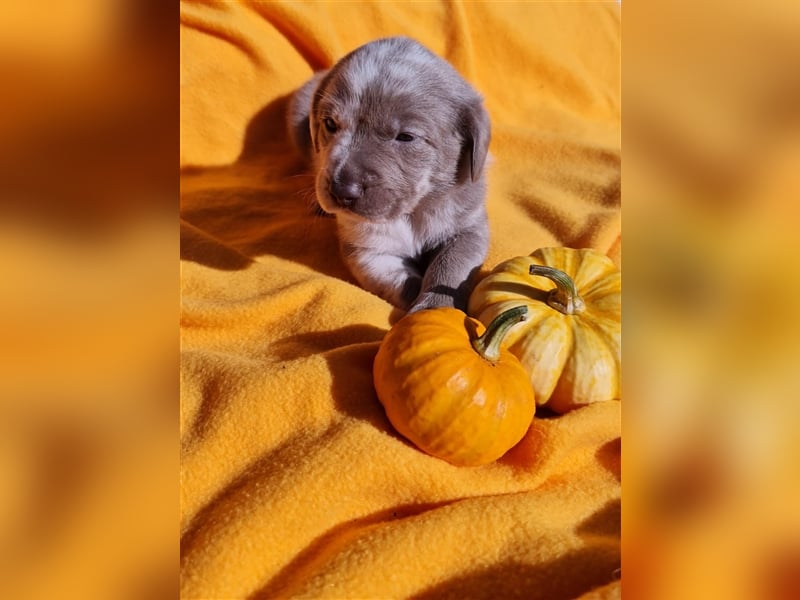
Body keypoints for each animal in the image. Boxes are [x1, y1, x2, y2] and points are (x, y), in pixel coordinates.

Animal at [284, 36, 490, 314]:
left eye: (406, 137)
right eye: (330, 124)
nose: (342, 191)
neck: (412, 213)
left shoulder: (469, 228)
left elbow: (451, 267)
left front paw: (435, 307)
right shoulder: (367, 250)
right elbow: (400, 282)